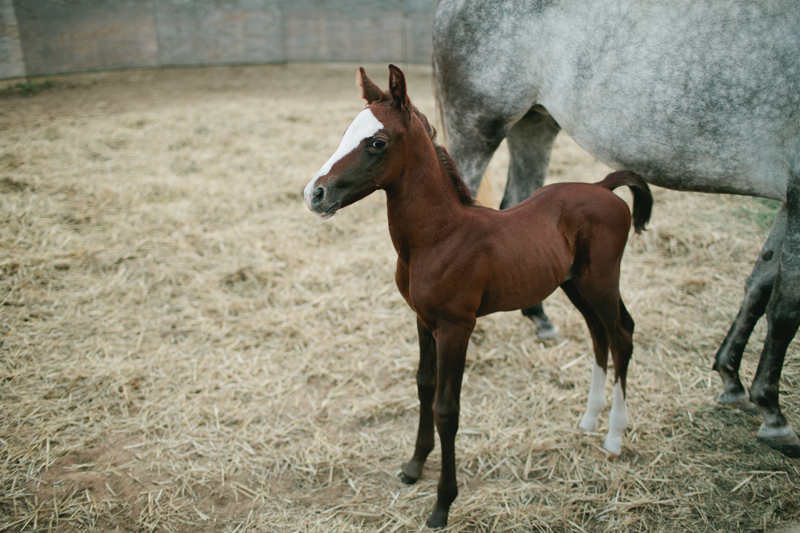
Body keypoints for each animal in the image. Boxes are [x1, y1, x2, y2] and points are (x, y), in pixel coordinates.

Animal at [304, 65, 652, 528]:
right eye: (346, 132)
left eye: (376, 142)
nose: (315, 193)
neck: (439, 237)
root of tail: (604, 185)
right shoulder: (422, 319)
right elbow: (424, 385)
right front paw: (413, 467)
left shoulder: (456, 327)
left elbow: (446, 408)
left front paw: (442, 504)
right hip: (573, 283)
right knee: (599, 335)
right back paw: (589, 420)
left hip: (602, 281)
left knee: (621, 335)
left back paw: (613, 437)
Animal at [434, 1, 800, 458]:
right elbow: (786, 307)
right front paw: (772, 410)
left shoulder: (788, 197)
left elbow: (760, 285)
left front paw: (732, 377)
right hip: (478, 126)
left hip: (535, 123)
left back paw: (539, 318)